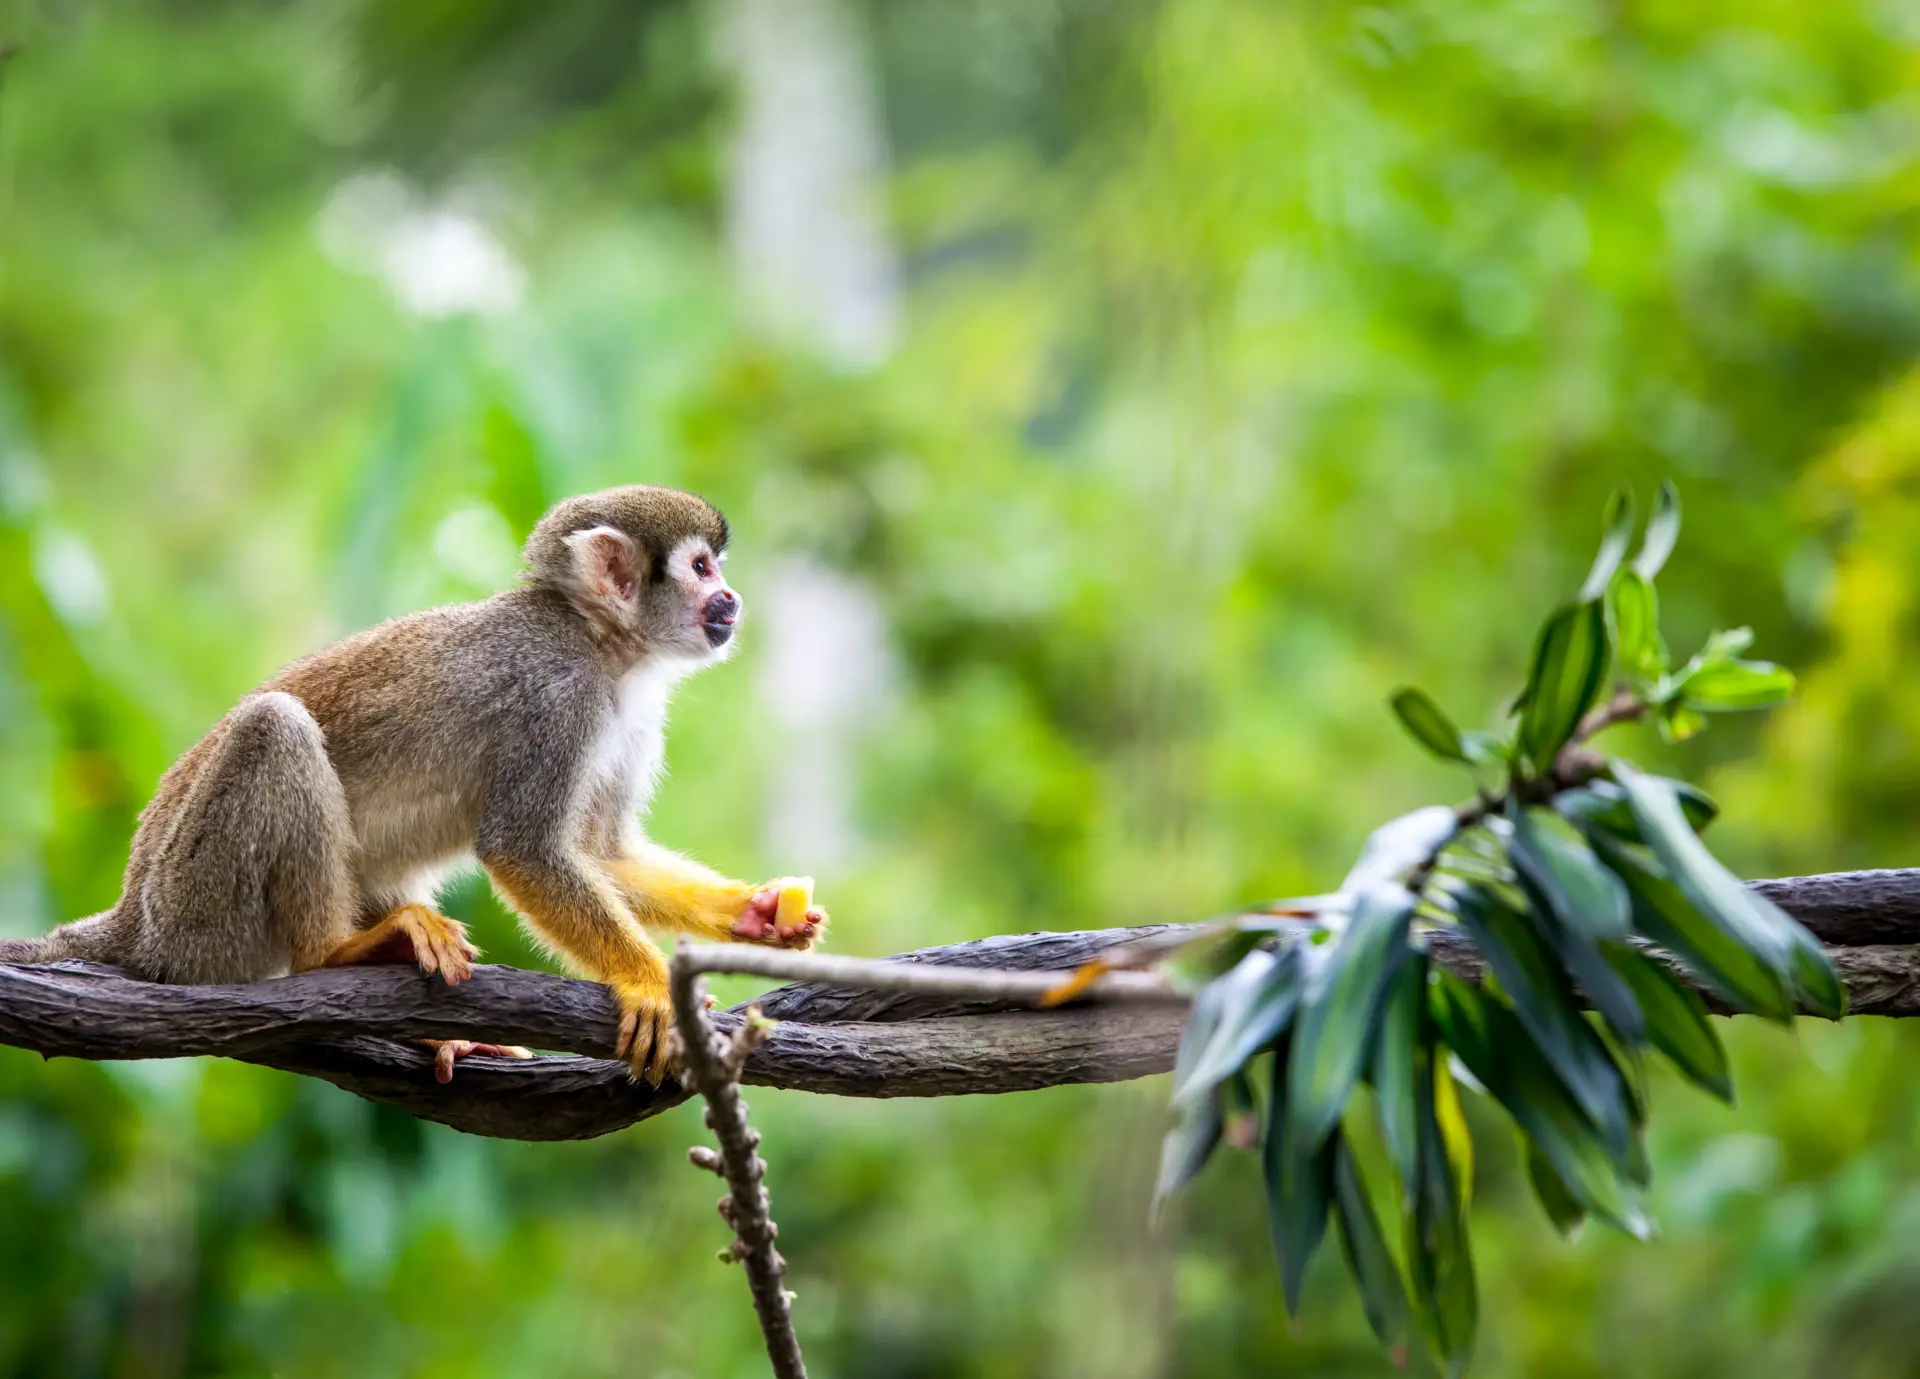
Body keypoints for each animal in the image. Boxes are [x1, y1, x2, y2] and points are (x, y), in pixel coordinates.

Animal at [0, 485, 825, 1084]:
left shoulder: (632, 713)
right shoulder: (555, 698)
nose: (731, 601)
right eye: (702, 569)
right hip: (195, 912)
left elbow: (602, 852)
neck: (602, 647)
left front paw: (754, 913)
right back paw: (339, 951)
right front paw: (650, 982)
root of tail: (128, 916)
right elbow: (524, 848)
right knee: (274, 726)